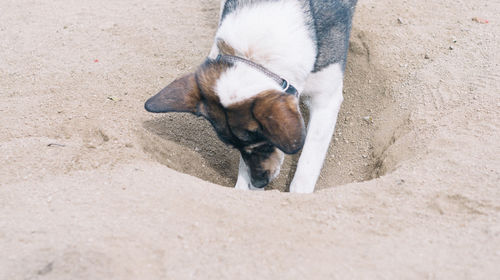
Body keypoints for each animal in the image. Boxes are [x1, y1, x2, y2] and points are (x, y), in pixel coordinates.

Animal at [144, 0, 356, 192]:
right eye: (236, 148)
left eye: (266, 146)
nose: (259, 182)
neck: (256, 54)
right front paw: (245, 188)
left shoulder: (326, 99)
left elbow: (307, 167)